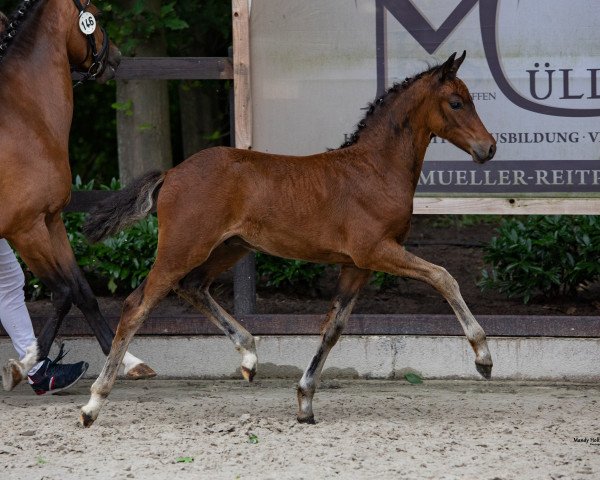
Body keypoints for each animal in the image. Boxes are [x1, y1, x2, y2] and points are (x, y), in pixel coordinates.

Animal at [0, 0, 155, 390]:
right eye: (95, 14)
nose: (115, 57)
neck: (24, 117)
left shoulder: (52, 221)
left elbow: (83, 290)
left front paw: (128, 362)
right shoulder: (26, 228)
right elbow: (62, 292)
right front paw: (23, 367)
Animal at [79, 51, 496, 428]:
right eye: (457, 102)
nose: (489, 147)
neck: (376, 169)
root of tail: (171, 173)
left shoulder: (356, 266)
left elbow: (332, 329)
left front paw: (305, 402)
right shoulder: (377, 251)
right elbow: (443, 276)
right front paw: (483, 357)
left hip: (229, 247)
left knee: (193, 286)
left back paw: (249, 357)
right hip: (182, 248)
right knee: (136, 306)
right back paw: (93, 404)